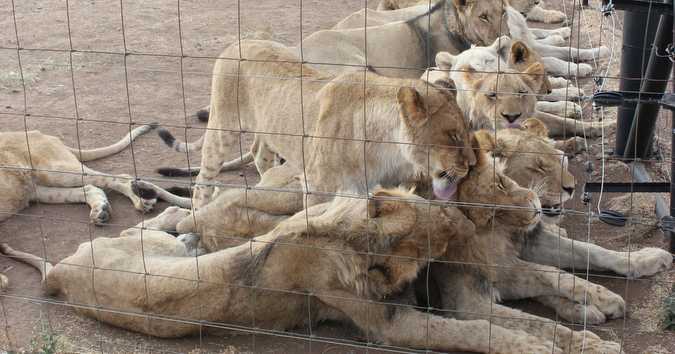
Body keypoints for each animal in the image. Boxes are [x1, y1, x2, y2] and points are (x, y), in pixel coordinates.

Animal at [1, 191, 572, 354]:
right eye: (445, 231)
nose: (467, 216)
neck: (345, 238)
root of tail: (60, 273)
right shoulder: (389, 326)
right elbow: (474, 330)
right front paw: (536, 345)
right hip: (142, 248)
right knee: (163, 226)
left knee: (169, 224)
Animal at [158, 39, 476, 210]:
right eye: (452, 135)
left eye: (467, 130)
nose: (472, 165)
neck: (389, 148)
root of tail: (240, 41)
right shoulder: (318, 188)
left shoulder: (388, 183)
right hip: (222, 128)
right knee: (204, 179)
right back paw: (198, 213)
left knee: (260, 153)